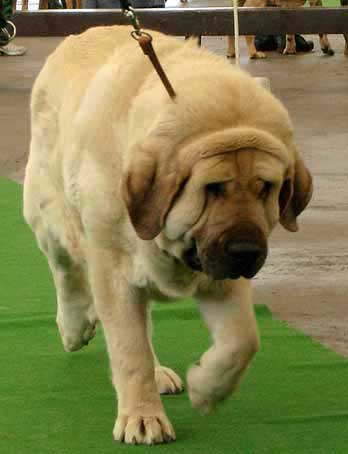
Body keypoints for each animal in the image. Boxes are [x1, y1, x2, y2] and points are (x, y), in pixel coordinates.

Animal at [23, 24, 312, 444]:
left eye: (266, 188)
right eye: (213, 189)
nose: (245, 250)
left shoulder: (221, 276)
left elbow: (242, 340)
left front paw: (207, 389)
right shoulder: (114, 270)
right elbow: (129, 350)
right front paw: (142, 417)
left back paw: (158, 371)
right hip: (49, 212)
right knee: (66, 272)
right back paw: (75, 327)